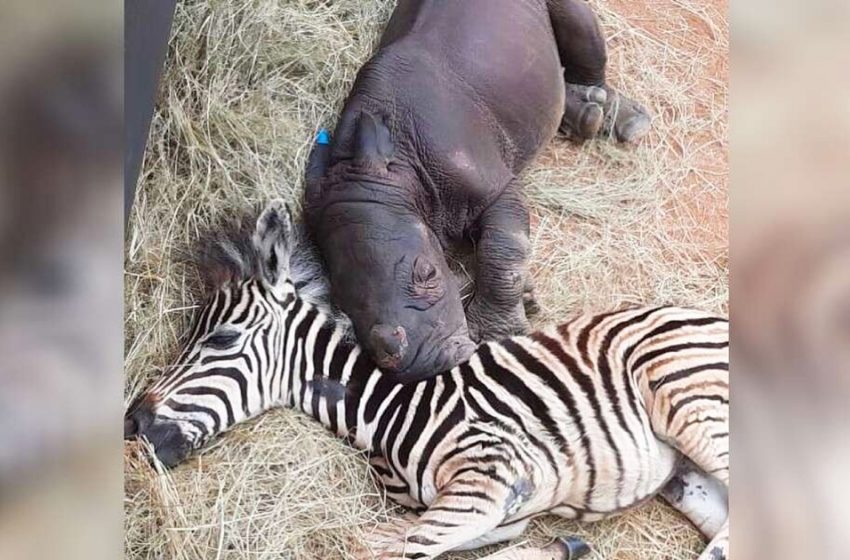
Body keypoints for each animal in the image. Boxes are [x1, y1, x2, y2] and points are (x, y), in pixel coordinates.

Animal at [122, 201, 724, 560]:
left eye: (221, 339)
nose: (132, 425)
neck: (389, 413)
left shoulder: (489, 479)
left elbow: (383, 550)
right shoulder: (494, 515)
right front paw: (563, 547)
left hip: (688, 402)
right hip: (685, 477)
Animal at [306, 0, 648, 380]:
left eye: (428, 274)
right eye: (343, 307)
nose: (423, 365)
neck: (398, 172)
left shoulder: (496, 189)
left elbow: (503, 252)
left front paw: (497, 333)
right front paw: (526, 299)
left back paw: (619, 119)